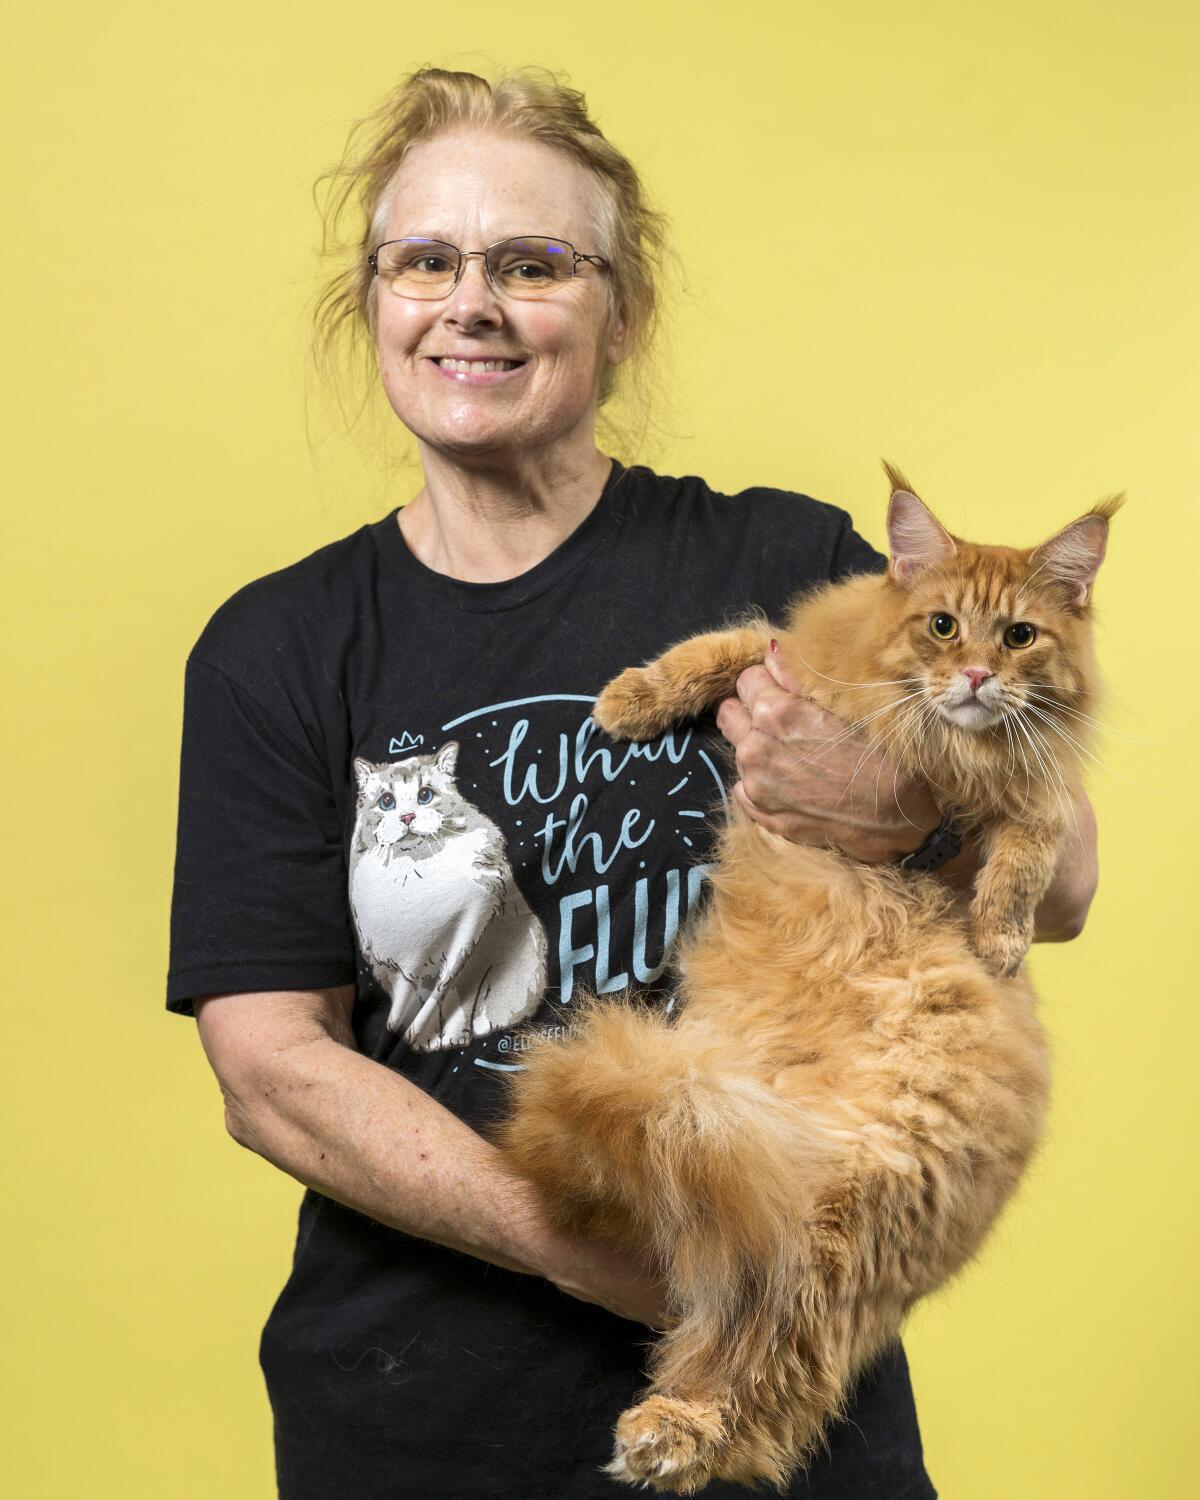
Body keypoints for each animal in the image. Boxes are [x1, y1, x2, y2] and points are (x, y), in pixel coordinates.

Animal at [349, 741, 546, 1050]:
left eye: (425, 795)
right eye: (387, 801)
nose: (407, 817)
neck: (414, 873)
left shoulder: (465, 951)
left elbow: (453, 1001)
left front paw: (450, 1038)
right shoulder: (398, 968)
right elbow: (419, 1004)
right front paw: (422, 1039)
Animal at [492, 465, 1122, 1488]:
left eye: (1020, 636)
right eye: (942, 625)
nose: (975, 677)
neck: (935, 738)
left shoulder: (1033, 788)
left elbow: (1035, 835)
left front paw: (998, 938)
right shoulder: (787, 659)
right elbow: (722, 644)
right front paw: (629, 701)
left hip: (815, 1234)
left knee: (772, 1373)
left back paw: (671, 1436)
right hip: (745, 1180)